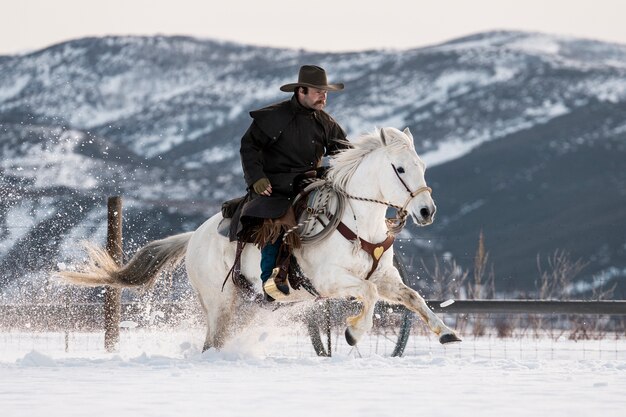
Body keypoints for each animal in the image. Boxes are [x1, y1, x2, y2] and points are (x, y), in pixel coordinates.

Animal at [62, 127, 458, 352]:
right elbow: (370, 294)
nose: (427, 211)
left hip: (248, 305)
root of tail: (194, 238)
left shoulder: (386, 278)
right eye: (400, 168)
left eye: (422, 165)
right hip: (220, 302)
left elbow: (412, 297)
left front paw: (445, 332)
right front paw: (354, 333)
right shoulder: (330, 281)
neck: (357, 223)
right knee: (213, 341)